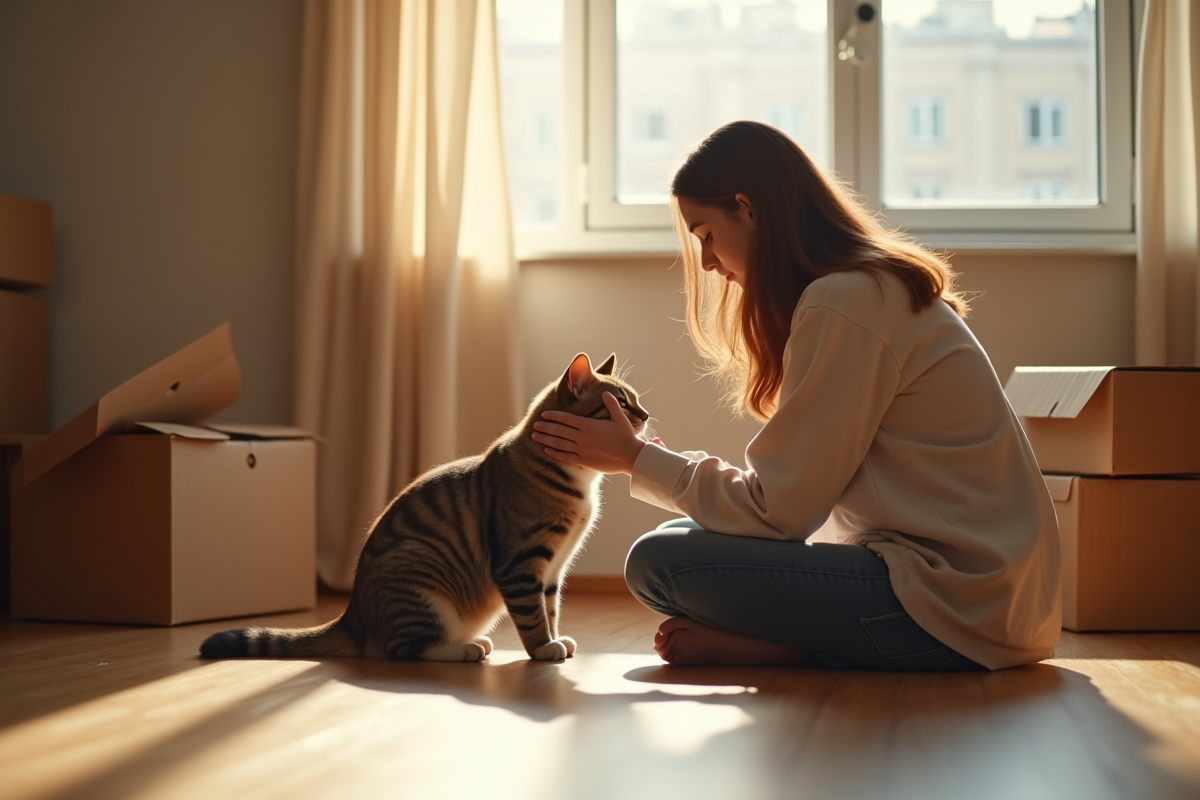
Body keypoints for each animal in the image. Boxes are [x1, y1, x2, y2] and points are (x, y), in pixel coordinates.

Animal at [200, 352, 648, 662]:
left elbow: (550, 609)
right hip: (419, 578)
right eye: (620, 404)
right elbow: (533, 615)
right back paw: (464, 649)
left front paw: (556, 640)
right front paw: (543, 649)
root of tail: (351, 616)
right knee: (400, 648)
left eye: (634, 401)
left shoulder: (554, 568)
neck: (580, 483)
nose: (646, 415)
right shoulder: (521, 562)